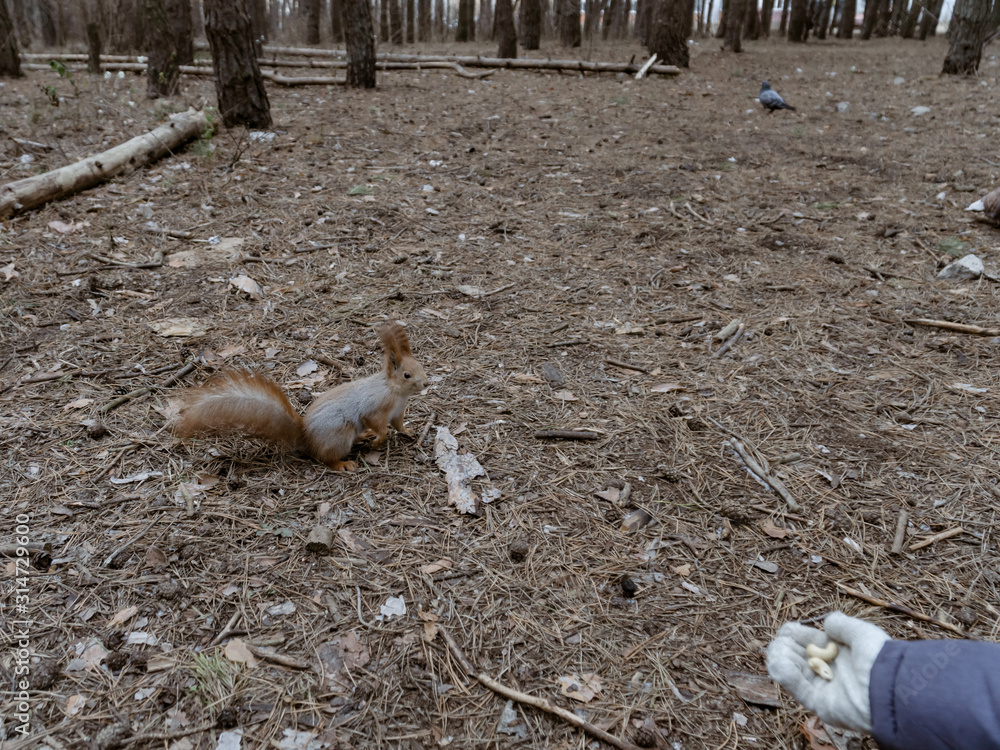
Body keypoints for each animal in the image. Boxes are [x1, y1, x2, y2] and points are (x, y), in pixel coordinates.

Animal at [172, 323, 428, 471]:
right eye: (406, 374)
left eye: (420, 366)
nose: (426, 383)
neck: (394, 391)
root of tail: (306, 437)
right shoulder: (375, 406)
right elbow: (377, 424)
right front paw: (379, 439)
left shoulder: (397, 411)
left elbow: (398, 425)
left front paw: (408, 431)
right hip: (339, 434)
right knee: (325, 458)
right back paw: (343, 463)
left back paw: (362, 437)